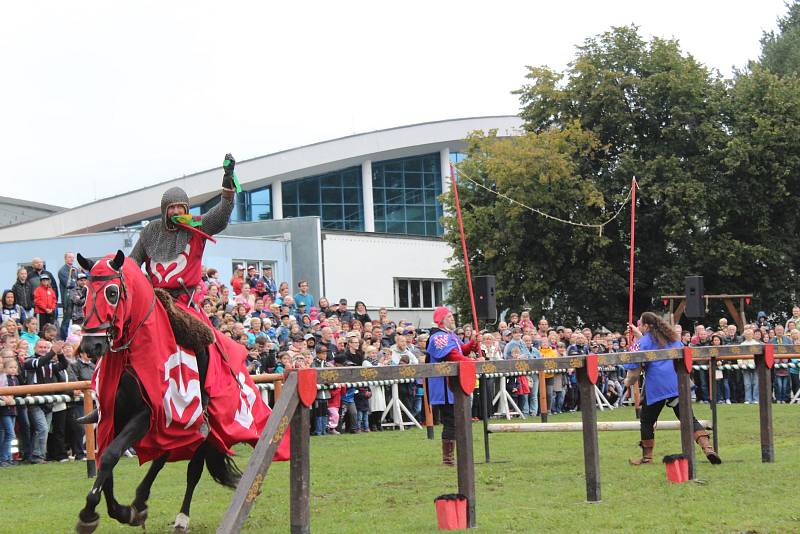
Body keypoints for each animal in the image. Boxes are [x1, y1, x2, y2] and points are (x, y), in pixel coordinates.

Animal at [76, 253, 276, 534]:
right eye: (84, 294)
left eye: (112, 292)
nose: (90, 345)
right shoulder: (113, 417)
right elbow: (107, 462)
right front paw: (118, 510)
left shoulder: (146, 415)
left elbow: (111, 456)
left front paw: (93, 513)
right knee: (162, 456)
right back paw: (140, 502)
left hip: (198, 425)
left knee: (192, 469)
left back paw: (180, 517)